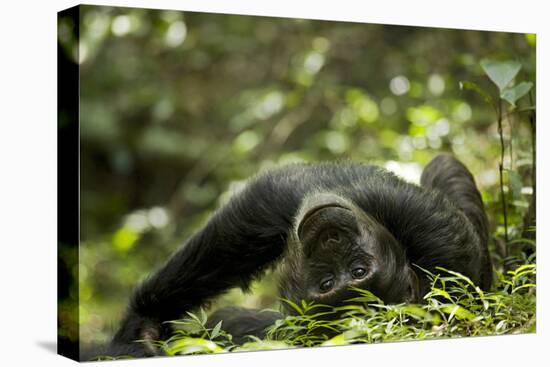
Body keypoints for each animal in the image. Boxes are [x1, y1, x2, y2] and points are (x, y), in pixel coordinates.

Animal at [92, 155, 494, 360]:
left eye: (358, 271)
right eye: (328, 282)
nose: (331, 238)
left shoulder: (431, 231)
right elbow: (260, 213)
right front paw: (141, 329)